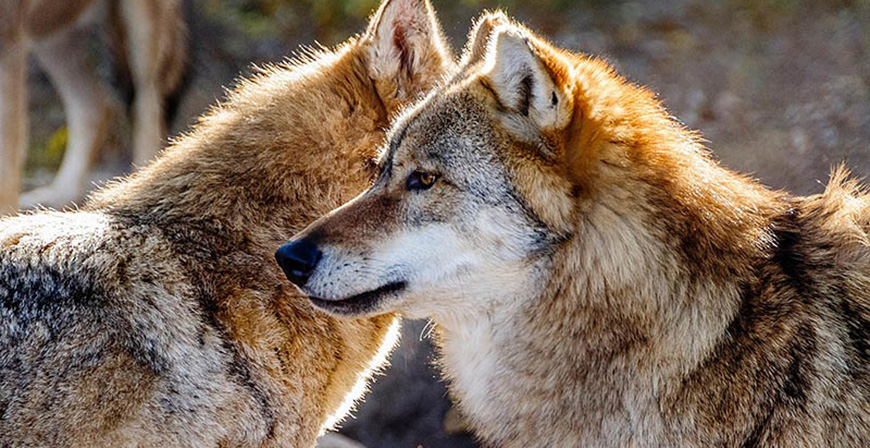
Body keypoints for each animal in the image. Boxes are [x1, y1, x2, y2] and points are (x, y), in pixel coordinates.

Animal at [0, 0, 187, 213]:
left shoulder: (8, 40)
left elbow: (6, 172)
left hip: (141, 35)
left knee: (148, 112)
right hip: (49, 34)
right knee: (96, 106)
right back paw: (59, 198)